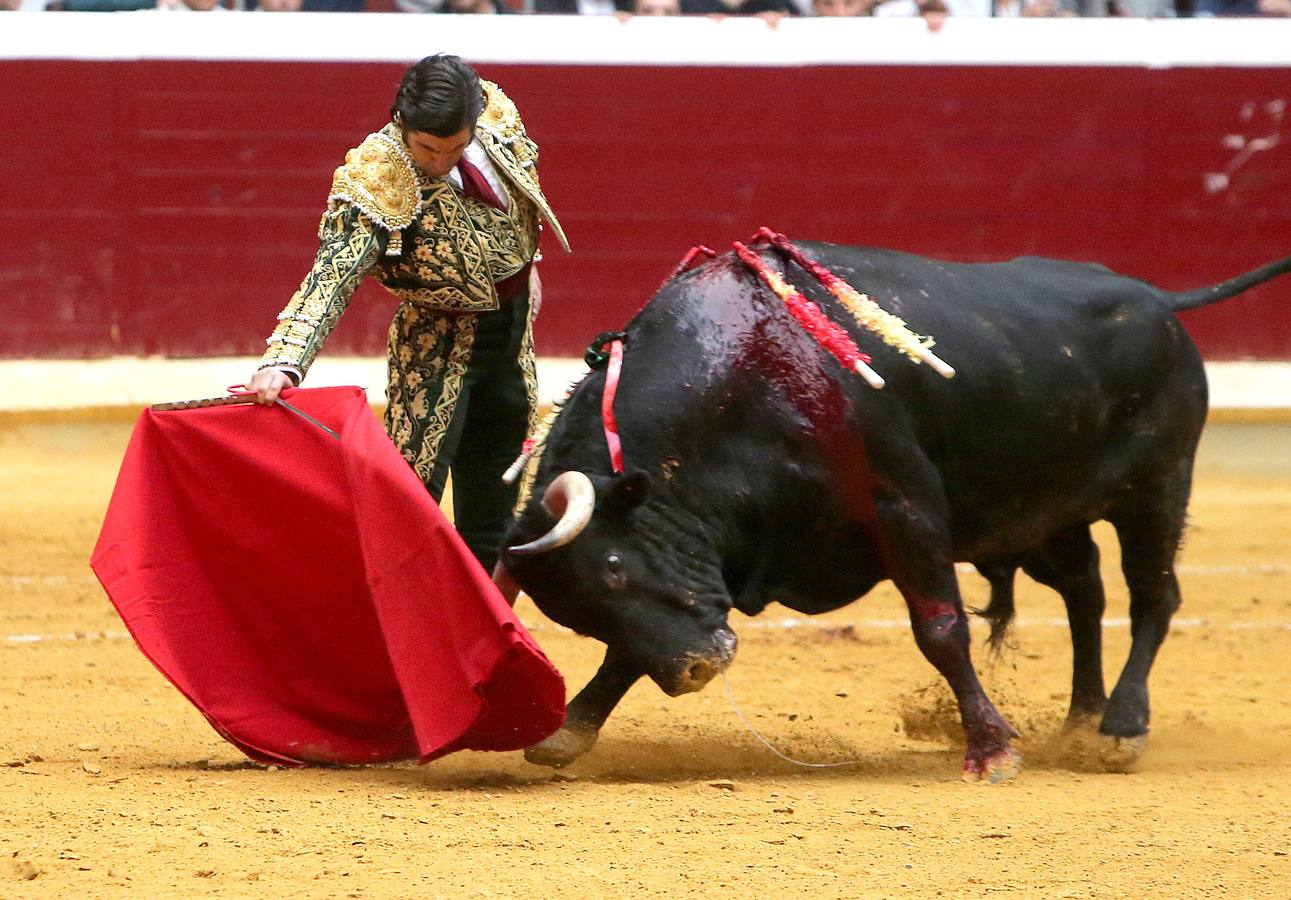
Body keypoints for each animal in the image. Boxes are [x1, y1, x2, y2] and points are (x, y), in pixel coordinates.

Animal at [493, 238, 1291, 779]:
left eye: (615, 567)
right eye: (577, 611)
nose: (696, 671)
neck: (747, 375)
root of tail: (1158, 299)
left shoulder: (904, 509)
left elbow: (940, 629)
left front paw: (991, 750)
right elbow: (632, 648)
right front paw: (568, 731)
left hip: (1157, 487)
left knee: (1154, 593)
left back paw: (1123, 727)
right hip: (1042, 512)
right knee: (1085, 594)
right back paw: (1080, 721)